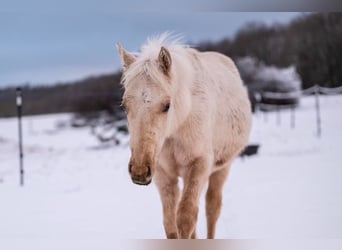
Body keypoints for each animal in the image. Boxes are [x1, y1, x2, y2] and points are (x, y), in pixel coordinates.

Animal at [116, 33, 252, 238]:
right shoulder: (162, 173)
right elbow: (171, 224)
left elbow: (187, 218)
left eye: (167, 105)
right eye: (124, 106)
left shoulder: (200, 165)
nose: (139, 171)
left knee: (212, 208)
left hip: (222, 168)